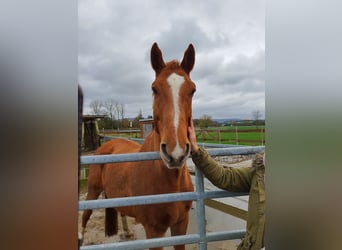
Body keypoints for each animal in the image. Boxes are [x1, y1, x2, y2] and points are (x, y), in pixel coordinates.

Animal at [81, 42, 196, 249]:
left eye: (192, 90)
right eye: (154, 89)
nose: (175, 153)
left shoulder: (181, 225)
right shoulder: (154, 231)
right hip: (92, 190)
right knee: (85, 216)